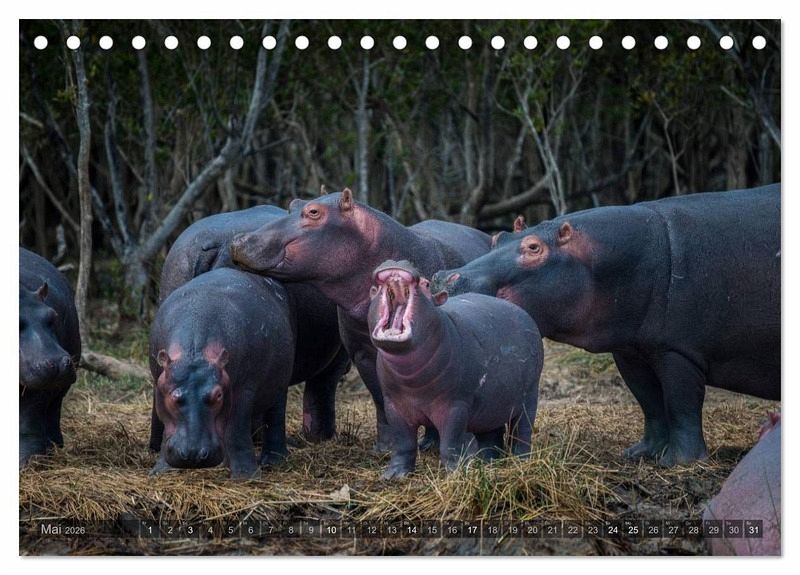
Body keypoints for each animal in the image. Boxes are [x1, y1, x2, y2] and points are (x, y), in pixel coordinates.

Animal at [19, 247, 81, 467]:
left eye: (53, 316)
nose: (58, 362)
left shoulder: (36, 386)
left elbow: (28, 421)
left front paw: (26, 461)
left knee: (54, 410)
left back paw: (54, 445)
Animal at [150, 268, 295, 479]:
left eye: (218, 395)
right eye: (172, 396)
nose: (193, 455)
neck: (194, 353)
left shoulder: (243, 389)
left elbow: (237, 431)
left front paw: (246, 477)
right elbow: (165, 431)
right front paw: (160, 471)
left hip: (279, 385)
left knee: (275, 418)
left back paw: (273, 461)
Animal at [230, 189, 492, 451]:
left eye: (314, 212)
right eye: (293, 204)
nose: (239, 240)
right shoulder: (362, 352)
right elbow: (380, 399)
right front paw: (385, 448)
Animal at [367, 260, 542, 479]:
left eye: (426, 284)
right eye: (373, 290)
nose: (398, 261)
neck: (409, 374)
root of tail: (525, 314)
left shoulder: (455, 406)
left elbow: (449, 443)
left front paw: (454, 475)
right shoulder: (394, 405)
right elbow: (403, 443)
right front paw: (393, 476)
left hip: (530, 395)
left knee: (523, 431)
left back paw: (522, 462)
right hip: (492, 403)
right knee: (490, 435)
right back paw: (487, 462)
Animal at [433, 185, 781, 466]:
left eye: (533, 247)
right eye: (497, 237)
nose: (445, 277)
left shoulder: (678, 350)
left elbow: (680, 405)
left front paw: (678, 463)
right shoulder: (631, 350)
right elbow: (650, 402)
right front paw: (639, 454)